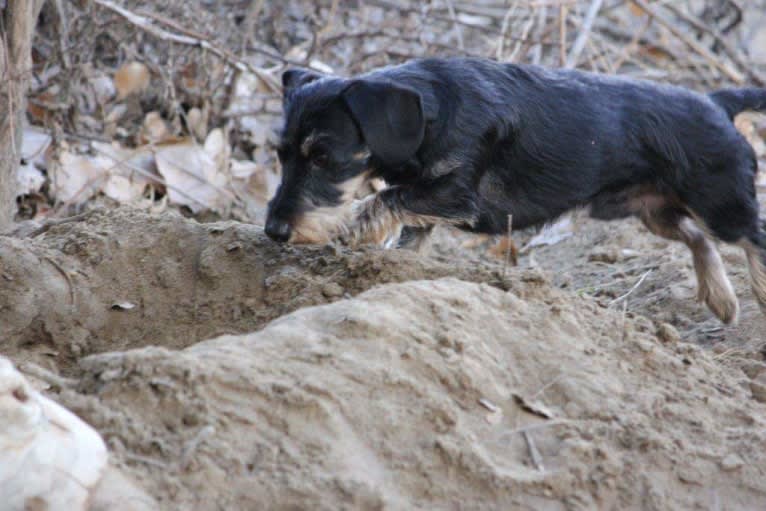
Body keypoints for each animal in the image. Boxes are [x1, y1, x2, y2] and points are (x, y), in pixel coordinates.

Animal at [266, 56, 766, 324]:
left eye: (323, 156)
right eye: (281, 154)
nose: (274, 231)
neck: (428, 110)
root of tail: (717, 103)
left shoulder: (455, 195)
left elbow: (382, 199)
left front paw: (347, 228)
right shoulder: (427, 206)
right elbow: (406, 236)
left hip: (720, 202)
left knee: (751, 236)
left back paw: (757, 292)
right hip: (647, 211)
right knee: (697, 236)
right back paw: (722, 300)